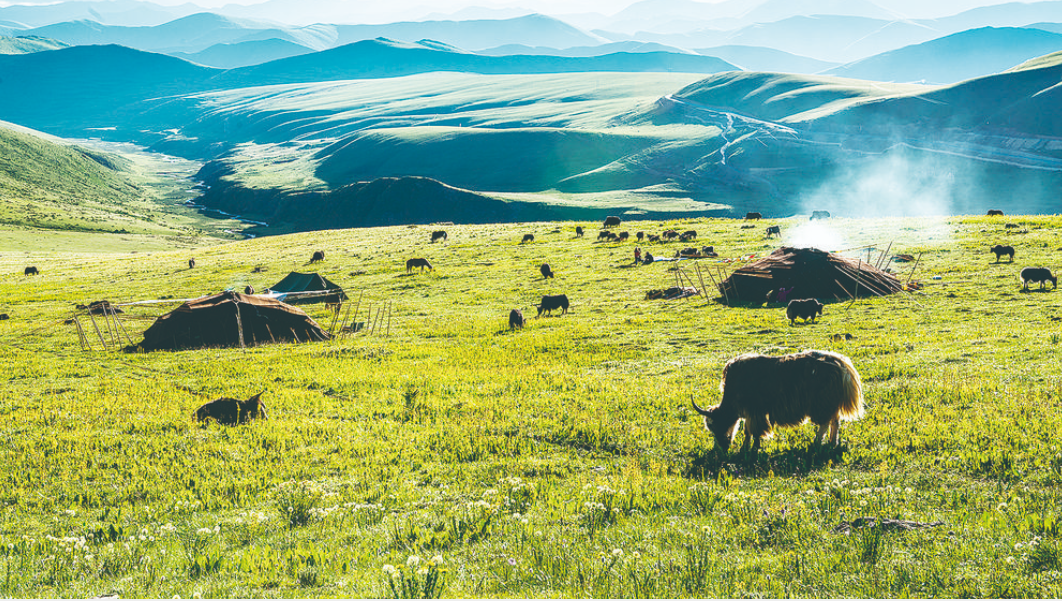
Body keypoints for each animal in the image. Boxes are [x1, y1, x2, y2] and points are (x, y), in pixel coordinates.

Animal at [691, 350, 864, 456]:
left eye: (715, 425)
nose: (719, 450)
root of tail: (843, 365)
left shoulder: (755, 412)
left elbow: (753, 431)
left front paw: (751, 449)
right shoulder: (750, 413)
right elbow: (747, 431)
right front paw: (745, 449)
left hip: (822, 404)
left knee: (825, 423)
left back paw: (816, 443)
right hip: (831, 404)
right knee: (835, 422)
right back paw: (832, 443)